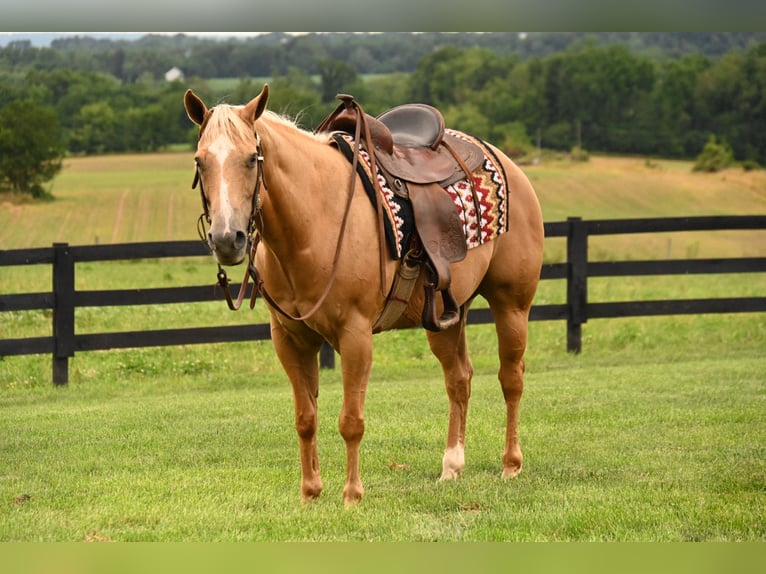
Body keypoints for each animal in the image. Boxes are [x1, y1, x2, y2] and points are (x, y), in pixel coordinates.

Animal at [183, 84, 544, 506]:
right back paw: (451, 467)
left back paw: (511, 464)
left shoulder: (355, 336)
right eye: (200, 162)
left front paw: (352, 495)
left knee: (511, 378)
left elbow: (351, 421)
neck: (314, 220)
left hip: (511, 304)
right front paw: (310, 492)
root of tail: (503, 159)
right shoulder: (290, 339)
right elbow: (305, 418)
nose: (228, 239)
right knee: (459, 379)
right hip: (445, 317)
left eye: (250, 159)